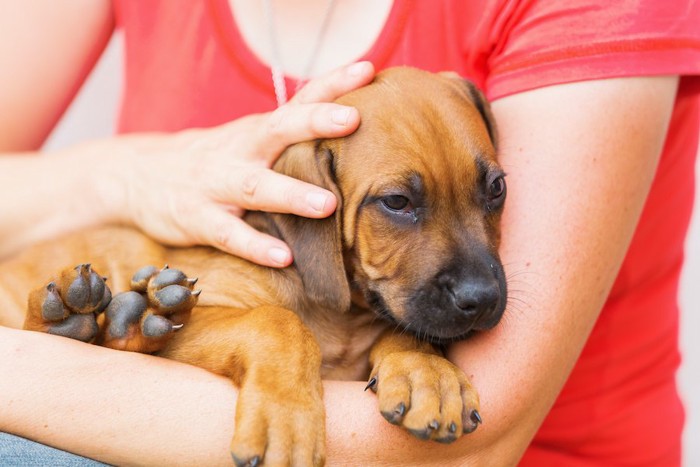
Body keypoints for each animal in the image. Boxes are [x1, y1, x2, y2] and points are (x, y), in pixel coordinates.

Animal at [0, 66, 506, 467]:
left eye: (497, 188)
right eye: (397, 202)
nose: (481, 299)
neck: (342, 316)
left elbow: (408, 330)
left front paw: (428, 373)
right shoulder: (205, 313)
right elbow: (277, 322)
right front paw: (287, 421)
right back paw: (78, 316)